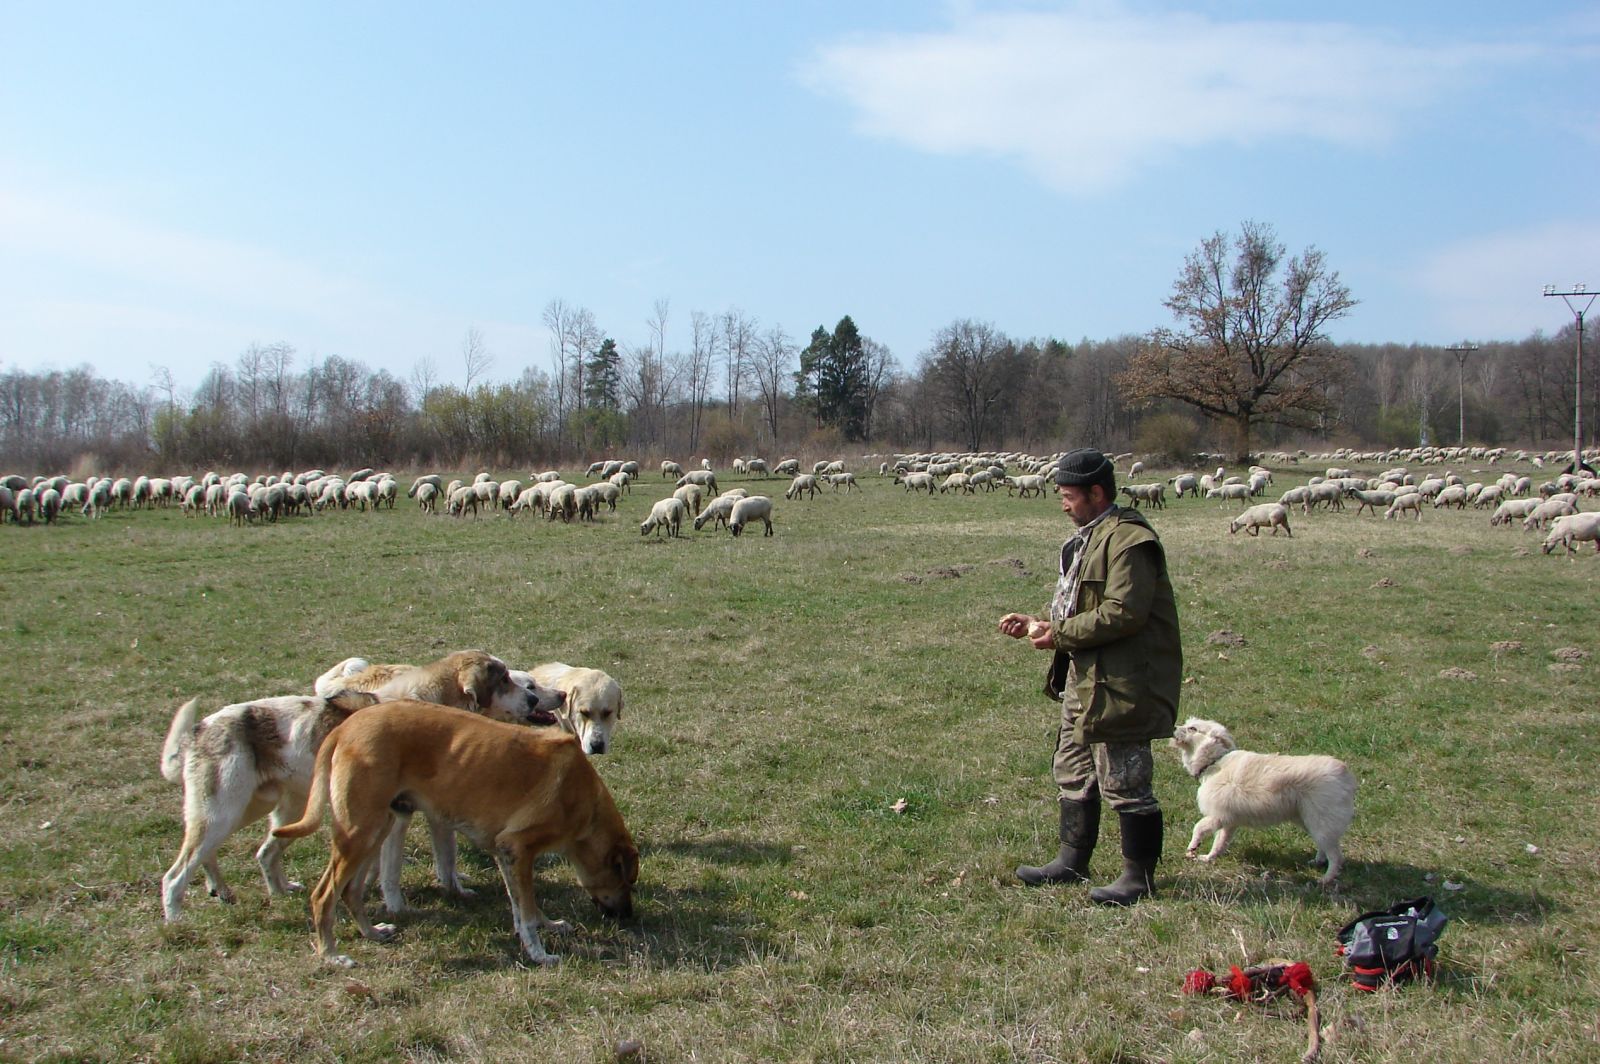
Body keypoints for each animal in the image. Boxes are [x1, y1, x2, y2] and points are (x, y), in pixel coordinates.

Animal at [278, 700, 640, 966]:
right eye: (626, 881)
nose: (628, 915)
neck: (582, 797)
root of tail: (345, 727)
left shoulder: (507, 856)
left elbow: (523, 908)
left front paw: (544, 926)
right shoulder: (518, 849)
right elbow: (526, 910)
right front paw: (540, 954)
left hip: (377, 829)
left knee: (352, 893)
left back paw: (371, 933)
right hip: (359, 833)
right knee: (323, 896)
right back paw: (331, 954)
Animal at [1171, 716, 1356, 883]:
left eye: (1192, 728)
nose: (1172, 728)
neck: (1215, 762)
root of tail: (1344, 773)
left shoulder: (1218, 816)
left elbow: (1198, 828)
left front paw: (1193, 847)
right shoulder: (1229, 821)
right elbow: (1220, 843)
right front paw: (1209, 858)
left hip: (1321, 822)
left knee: (1336, 856)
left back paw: (1327, 879)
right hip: (1310, 821)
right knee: (1325, 848)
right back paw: (1318, 862)